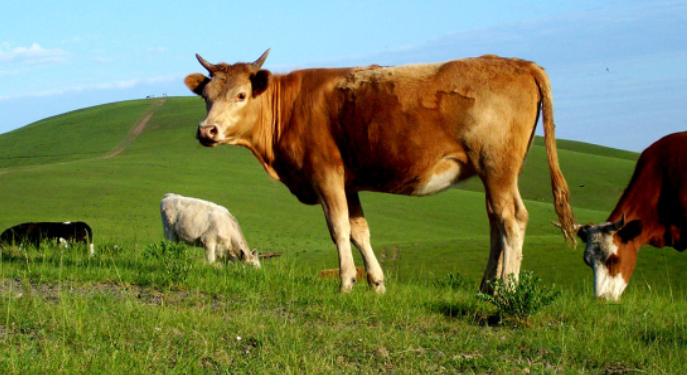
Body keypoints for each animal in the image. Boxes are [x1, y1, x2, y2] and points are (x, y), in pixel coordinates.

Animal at [185, 49, 576, 294]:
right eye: (206, 96)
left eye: (240, 95)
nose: (206, 131)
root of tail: (520, 63)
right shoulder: (348, 182)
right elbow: (360, 231)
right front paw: (376, 283)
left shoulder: (325, 173)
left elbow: (339, 229)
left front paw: (346, 283)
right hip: (492, 173)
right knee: (496, 222)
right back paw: (486, 287)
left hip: (497, 166)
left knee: (512, 219)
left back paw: (506, 289)